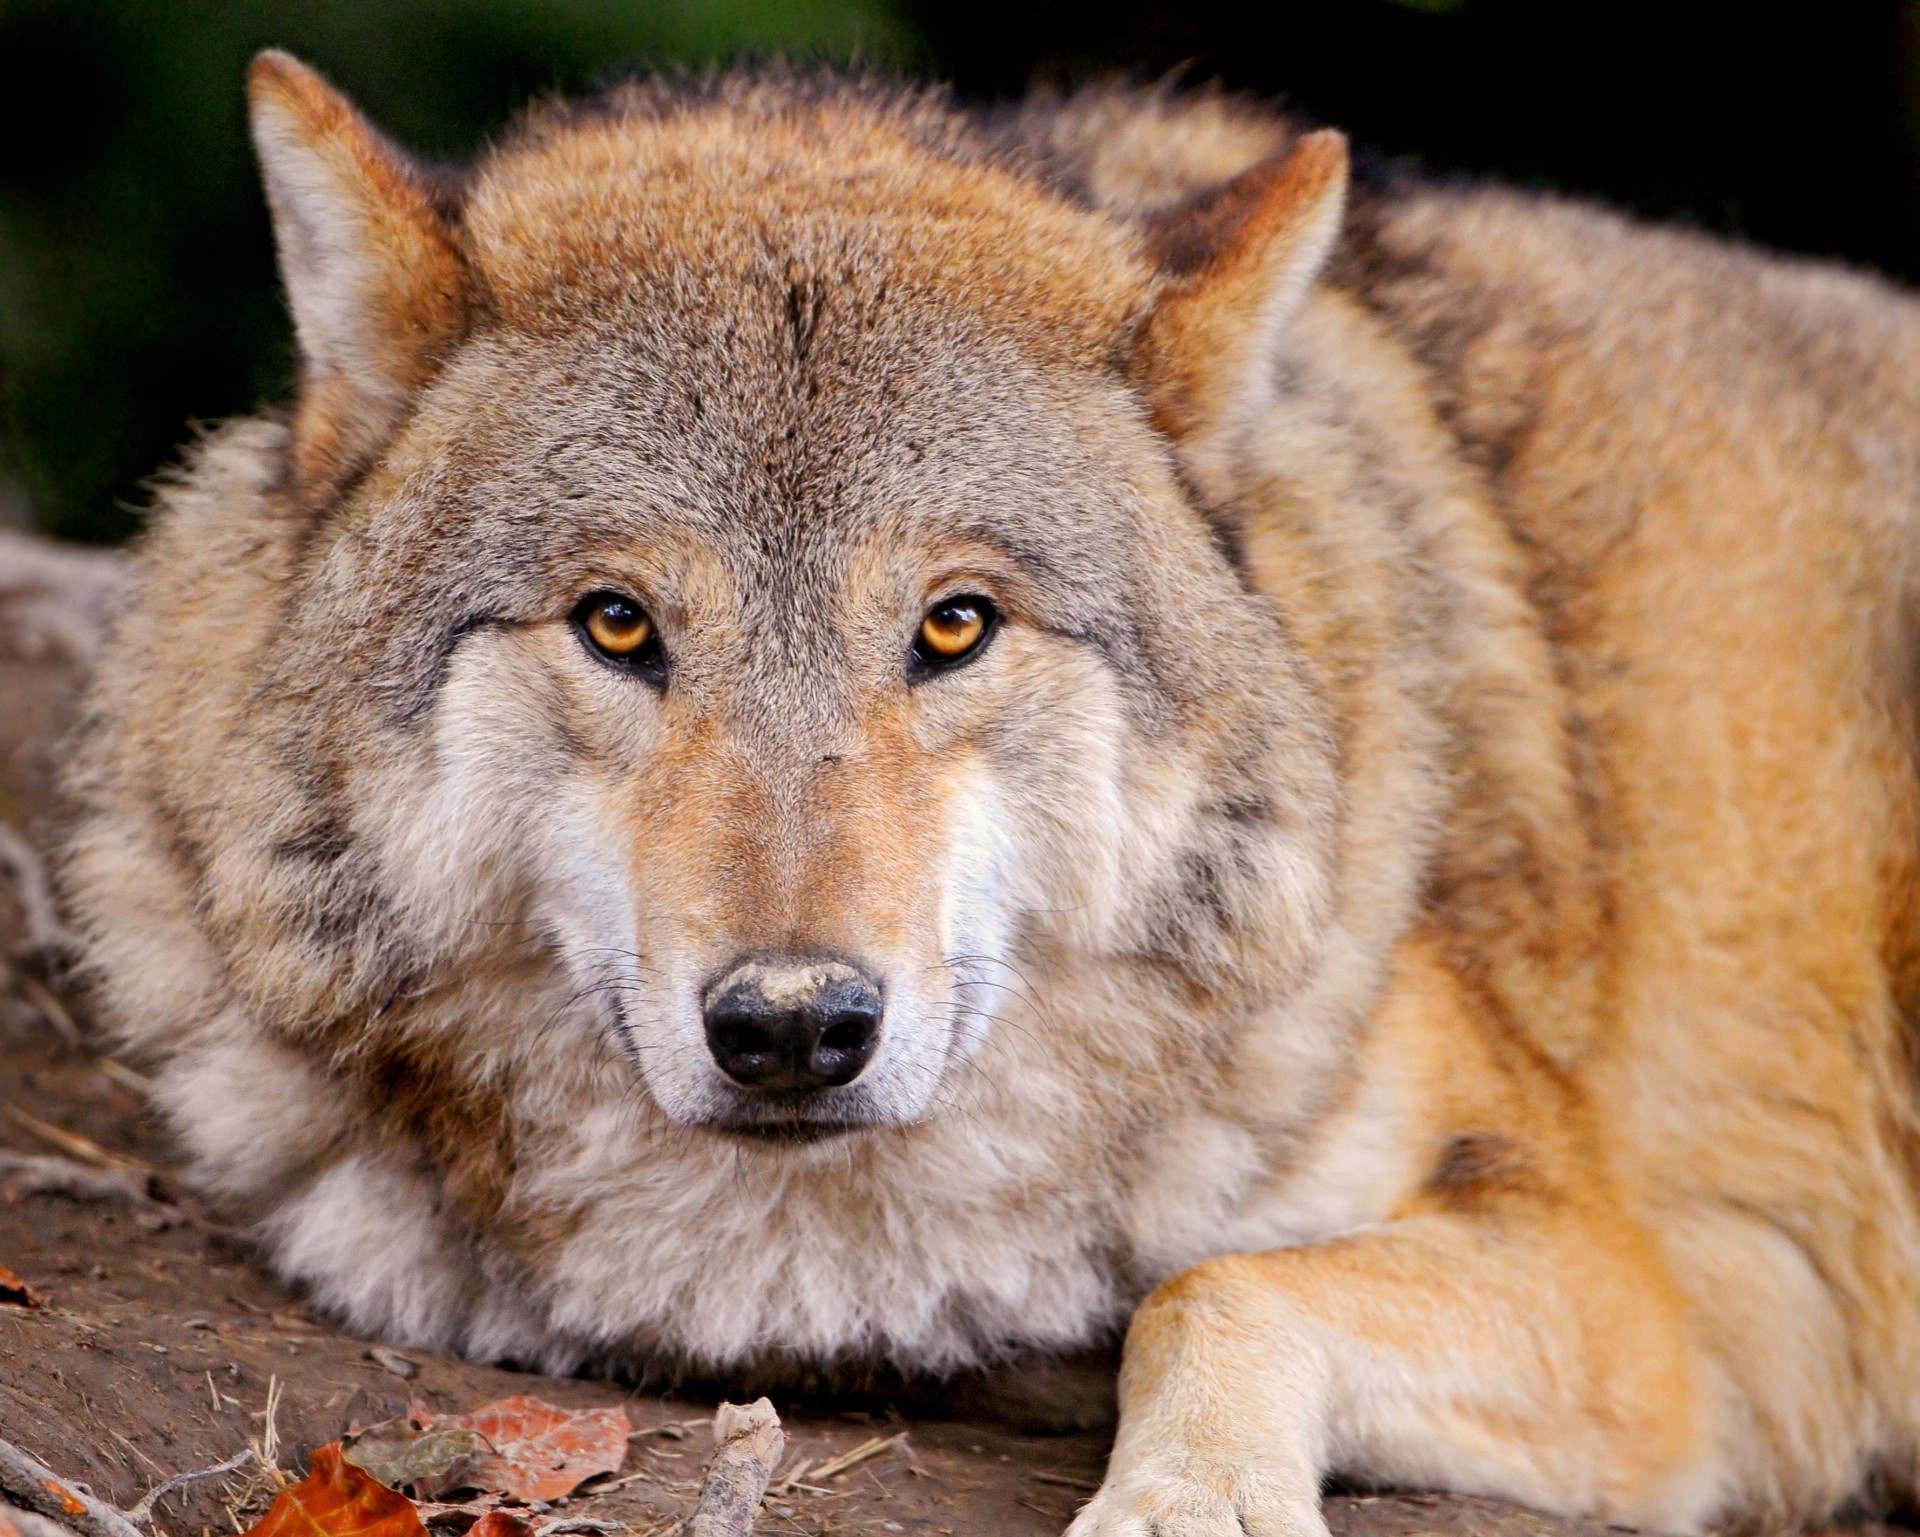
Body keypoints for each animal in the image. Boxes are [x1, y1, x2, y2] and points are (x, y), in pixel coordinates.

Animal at [60, 47, 1920, 1535]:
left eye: (953, 623)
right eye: (618, 622)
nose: (794, 1027)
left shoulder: (1629, 1307)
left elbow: (1213, 1289)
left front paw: (1187, 1498)